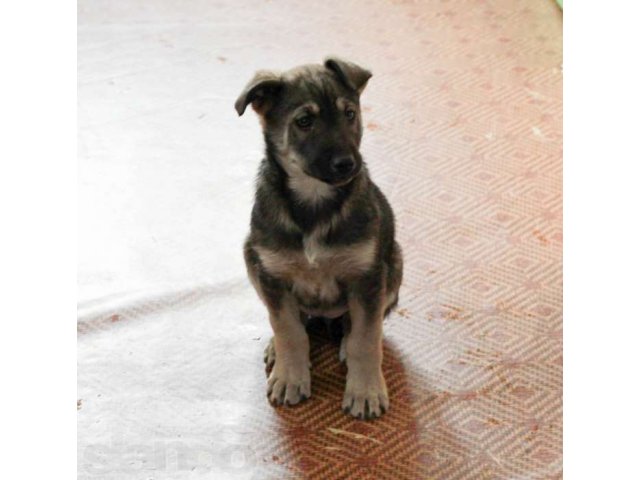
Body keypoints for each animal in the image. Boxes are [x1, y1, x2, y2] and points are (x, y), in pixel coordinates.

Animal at [238, 57, 402, 420]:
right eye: (304, 121)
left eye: (350, 114)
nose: (348, 164)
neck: (314, 201)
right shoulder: (273, 276)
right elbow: (288, 330)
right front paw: (290, 375)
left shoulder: (367, 278)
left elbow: (366, 338)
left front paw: (365, 390)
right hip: (250, 256)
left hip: (394, 264)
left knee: (358, 325)